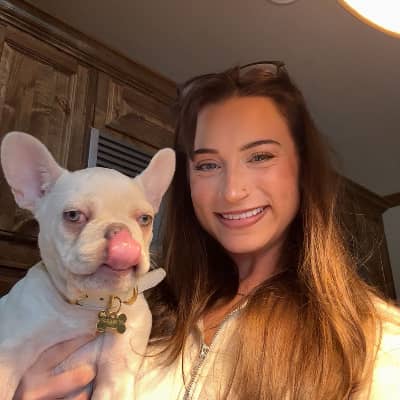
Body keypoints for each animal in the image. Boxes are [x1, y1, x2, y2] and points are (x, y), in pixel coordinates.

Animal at [0, 132, 175, 399]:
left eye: (145, 219)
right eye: (73, 215)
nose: (121, 234)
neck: (91, 306)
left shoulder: (117, 378)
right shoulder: (9, 357)